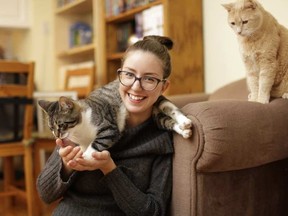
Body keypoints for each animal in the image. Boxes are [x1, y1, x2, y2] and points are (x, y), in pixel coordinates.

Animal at [37, 80, 191, 159]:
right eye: (51, 128)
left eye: (61, 125)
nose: (57, 135)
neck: (79, 132)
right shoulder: (83, 142)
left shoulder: (109, 128)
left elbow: (96, 144)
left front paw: (83, 157)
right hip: (156, 117)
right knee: (165, 121)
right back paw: (183, 130)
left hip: (157, 101)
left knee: (170, 108)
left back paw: (185, 122)